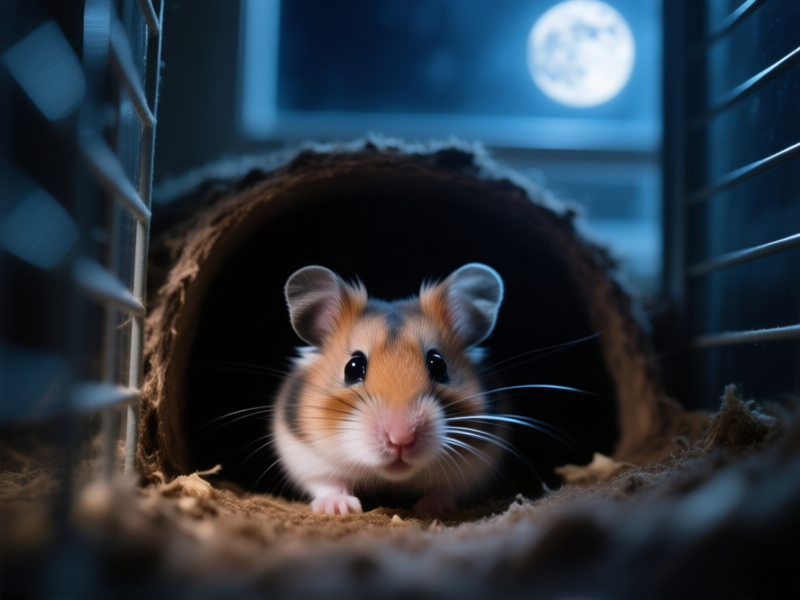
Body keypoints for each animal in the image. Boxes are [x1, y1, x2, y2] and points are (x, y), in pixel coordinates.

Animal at [273, 263, 506, 515]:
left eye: (439, 365)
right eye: (352, 367)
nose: (400, 438)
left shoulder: (473, 467)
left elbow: (447, 489)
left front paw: (432, 508)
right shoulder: (308, 459)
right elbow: (328, 483)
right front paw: (339, 509)